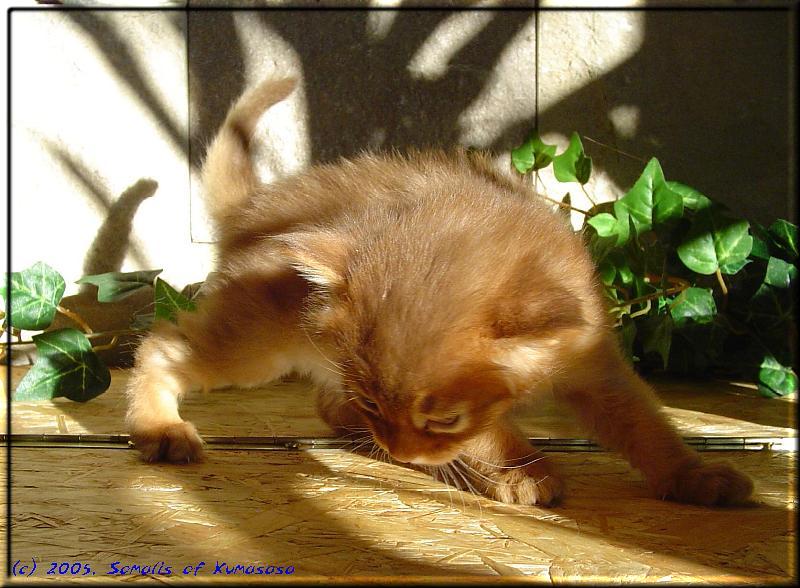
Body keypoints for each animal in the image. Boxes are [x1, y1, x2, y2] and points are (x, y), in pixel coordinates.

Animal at [128, 78, 752, 508]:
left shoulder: (597, 364)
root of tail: (257, 210)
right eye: (381, 404)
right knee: (162, 344)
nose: (398, 450)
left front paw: (694, 475)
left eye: (441, 420)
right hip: (259, 342)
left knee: (322, 401)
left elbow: (645, 425)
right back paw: (161, 429)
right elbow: (492, 434)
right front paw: (523, 471)